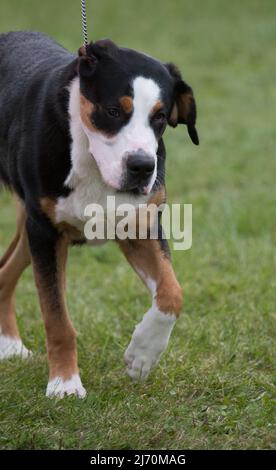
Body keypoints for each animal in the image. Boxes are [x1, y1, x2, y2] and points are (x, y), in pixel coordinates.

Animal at [0, 31, 198, 398]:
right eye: (113, 111)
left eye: (160, 117)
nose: (141, 167)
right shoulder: (46, 233)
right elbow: (57, 317)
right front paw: (64, 384)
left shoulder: (139, 226)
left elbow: (171, 294)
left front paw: (142, 354)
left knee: (5, 270)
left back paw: (9, 344)